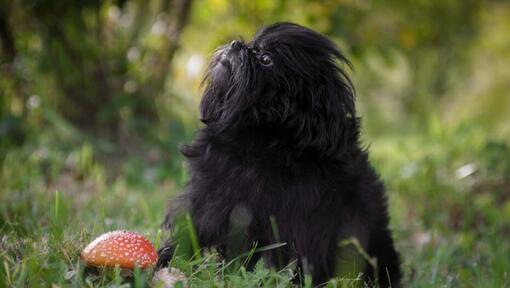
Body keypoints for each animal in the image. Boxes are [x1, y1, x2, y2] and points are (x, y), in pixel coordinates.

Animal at [159, 23, 402, 288]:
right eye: (252, 45)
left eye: (266, 59)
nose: (236, 44)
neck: (257, 138)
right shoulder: (209, 201)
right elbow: (189, 236)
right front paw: (161, 263)